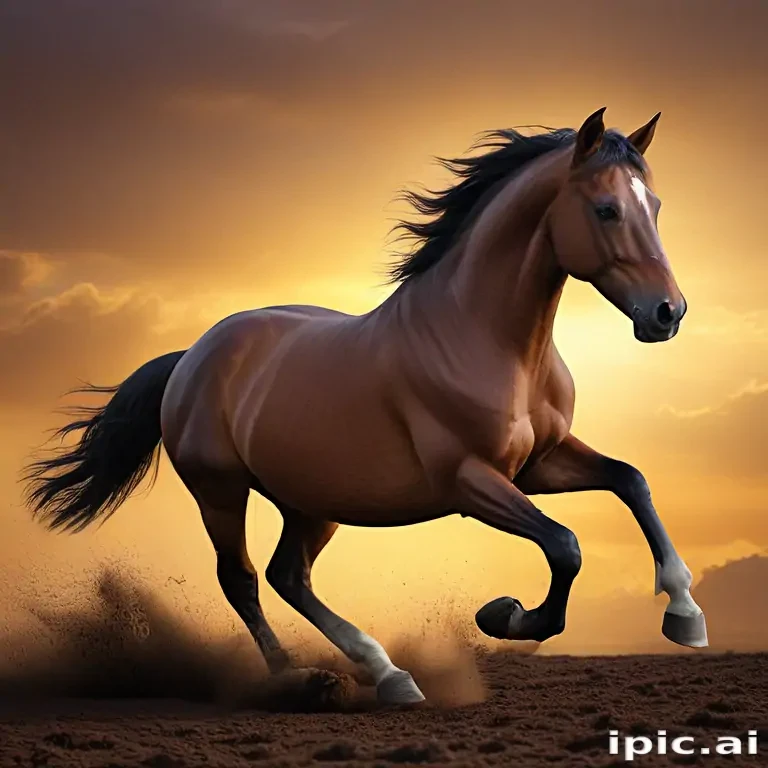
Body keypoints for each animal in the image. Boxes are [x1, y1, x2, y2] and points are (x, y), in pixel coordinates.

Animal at [22, 107, 707, 706]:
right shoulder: (470, 481)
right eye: (606, 209)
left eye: (655, 207)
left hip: (312, 502)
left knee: (289, 576)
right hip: (219, 490)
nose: (667, 314)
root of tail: (193, 353)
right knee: (242, 579)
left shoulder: (540, 463)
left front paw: (684, 615)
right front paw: (505, 616)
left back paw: (387, 675)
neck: (485, 339)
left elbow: (631, 481)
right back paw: (300, 681)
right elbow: (565, 545)